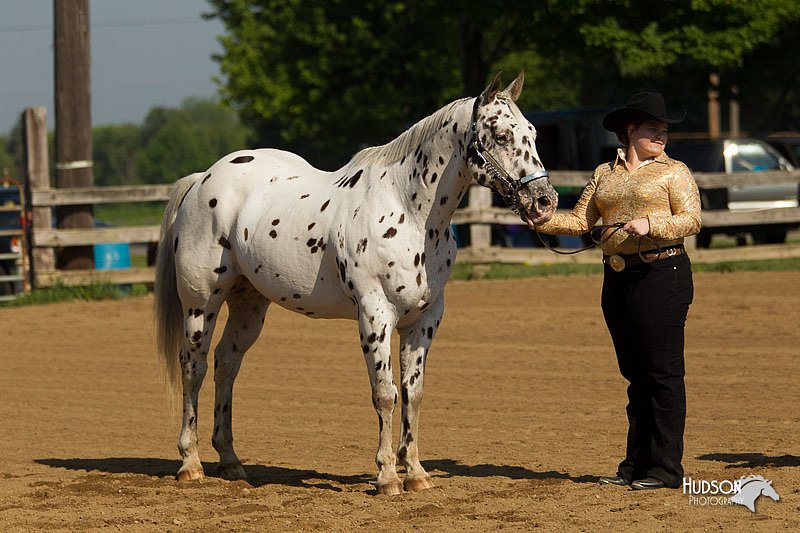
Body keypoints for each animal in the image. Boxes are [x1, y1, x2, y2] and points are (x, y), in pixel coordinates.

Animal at [155, 71, 556, 494]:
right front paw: (387, 477)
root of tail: (202, 180)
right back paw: (191, 463)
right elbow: (385, 394)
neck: (409, 212)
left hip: (249, 306)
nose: (545, 202)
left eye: (532, 132)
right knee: (193, 368)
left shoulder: (424, 320)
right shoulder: (375, 315)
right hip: (201, 304)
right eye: (501, 135)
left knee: (226, 365)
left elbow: (413, 393)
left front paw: (416, 473)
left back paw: (231, 461)